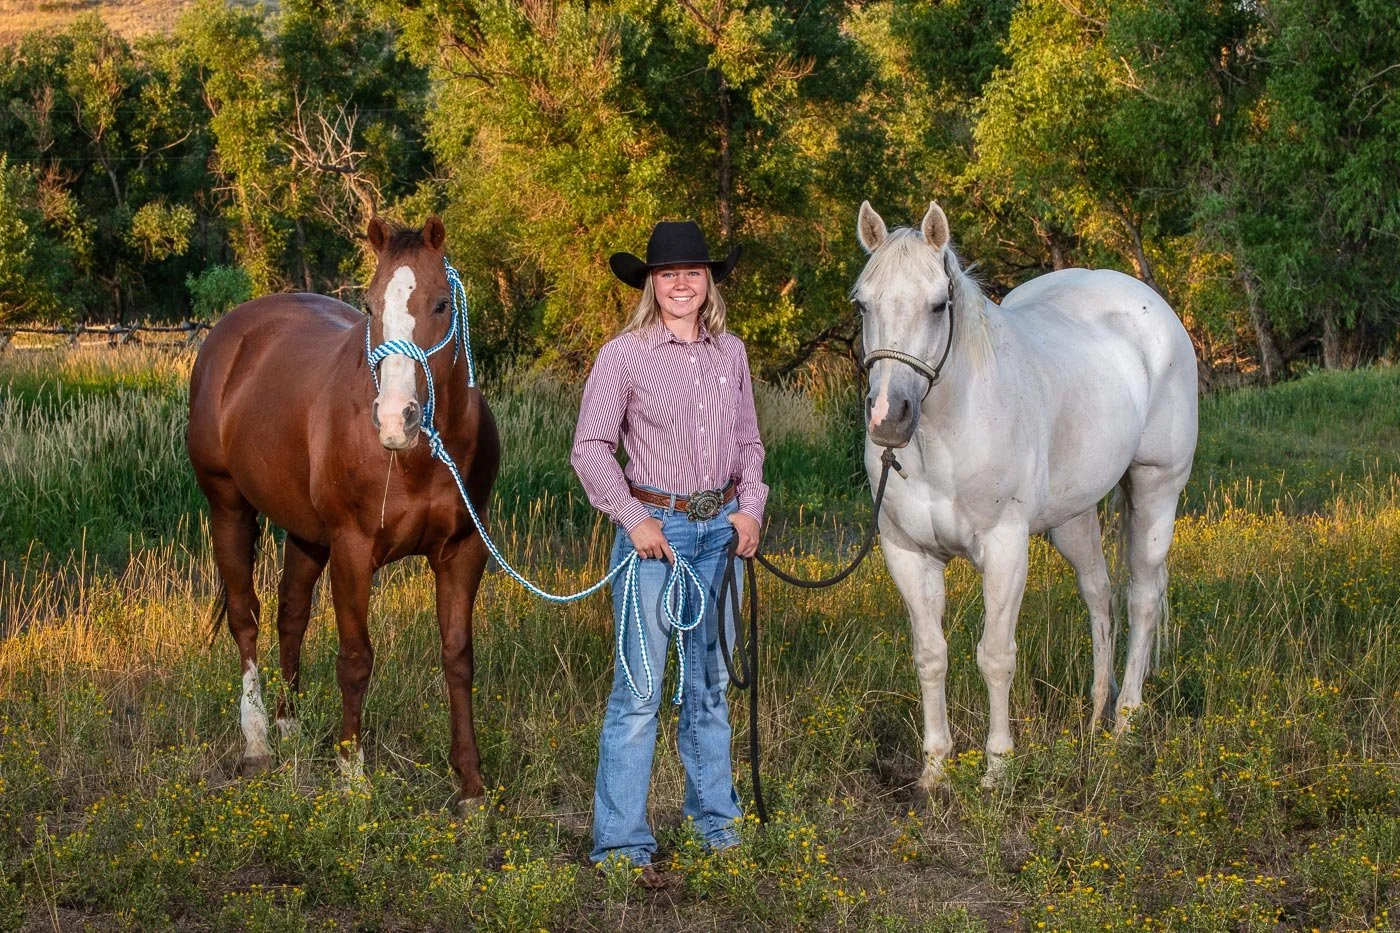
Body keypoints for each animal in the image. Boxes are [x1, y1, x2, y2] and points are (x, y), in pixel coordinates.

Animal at [186, 216, 500, 803]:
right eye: (371, 305)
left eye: (441, 304)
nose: (396, 419)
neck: (416, 459)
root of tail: (230, 336)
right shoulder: (353, 551)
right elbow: (355, 660)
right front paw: (352, 774)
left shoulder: (463, 551)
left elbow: (458, 658)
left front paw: (470, 783)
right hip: (228, 507)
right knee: (246, 618)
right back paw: (258, 743)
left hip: (306, 533)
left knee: (290, 614)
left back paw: (290, 725)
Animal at [852, 200, 1197, 789]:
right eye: (862, 303)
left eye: (938, 305)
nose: (888, 419)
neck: (945, 435)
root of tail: (1148, 303)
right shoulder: (908, 552)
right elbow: (930, 655)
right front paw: (936, 769)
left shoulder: (1005, 548)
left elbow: (995, 655)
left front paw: (998, 768)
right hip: (1072, 518)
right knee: (1099, 593)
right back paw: (1096, 712)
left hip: (1156, 489)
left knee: (1143, 598)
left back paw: (1125, 722)